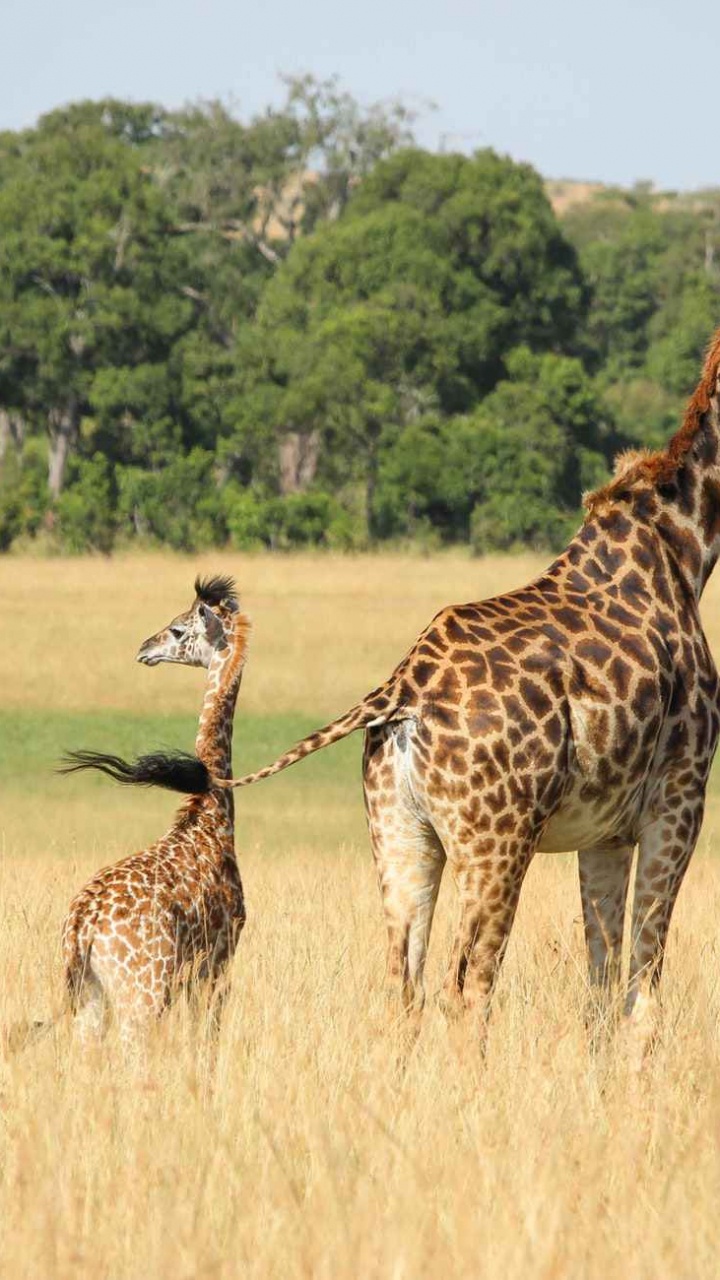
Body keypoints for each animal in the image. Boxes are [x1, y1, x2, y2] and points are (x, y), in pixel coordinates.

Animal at [55, 574, 250, 1043]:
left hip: (92, 998)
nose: (145, 648)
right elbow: (206, 1039)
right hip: (142, 995)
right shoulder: (218, 960)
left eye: (178, 630)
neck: (210, 814)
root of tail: (81, 927)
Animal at [197, 329, 720, 1061]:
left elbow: (601, 985)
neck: (687, 546)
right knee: (467, 983)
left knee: (405, 985)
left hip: (400, 831)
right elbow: (642, 990)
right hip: (497, 839)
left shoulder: (607, 831)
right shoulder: (680, 798)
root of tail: (401, 692)